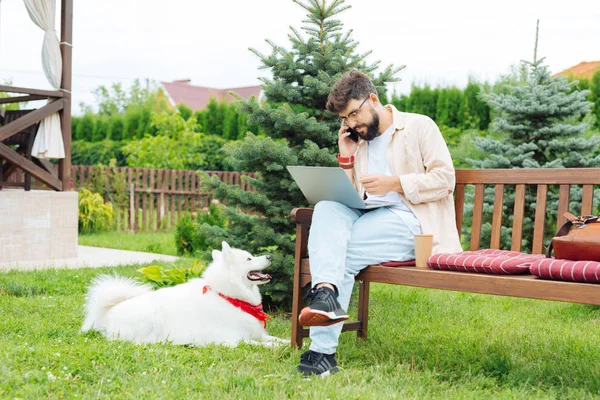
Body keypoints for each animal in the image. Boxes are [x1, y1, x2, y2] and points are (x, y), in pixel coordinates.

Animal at [82, 241, 288, 346]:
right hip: (149, 316)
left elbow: (277, 340)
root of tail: (107, 313)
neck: (229, 298)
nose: (270, 256)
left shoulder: (257, 334)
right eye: (249, 259)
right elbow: (265, 345)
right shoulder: (233, 340)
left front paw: (289, 344)